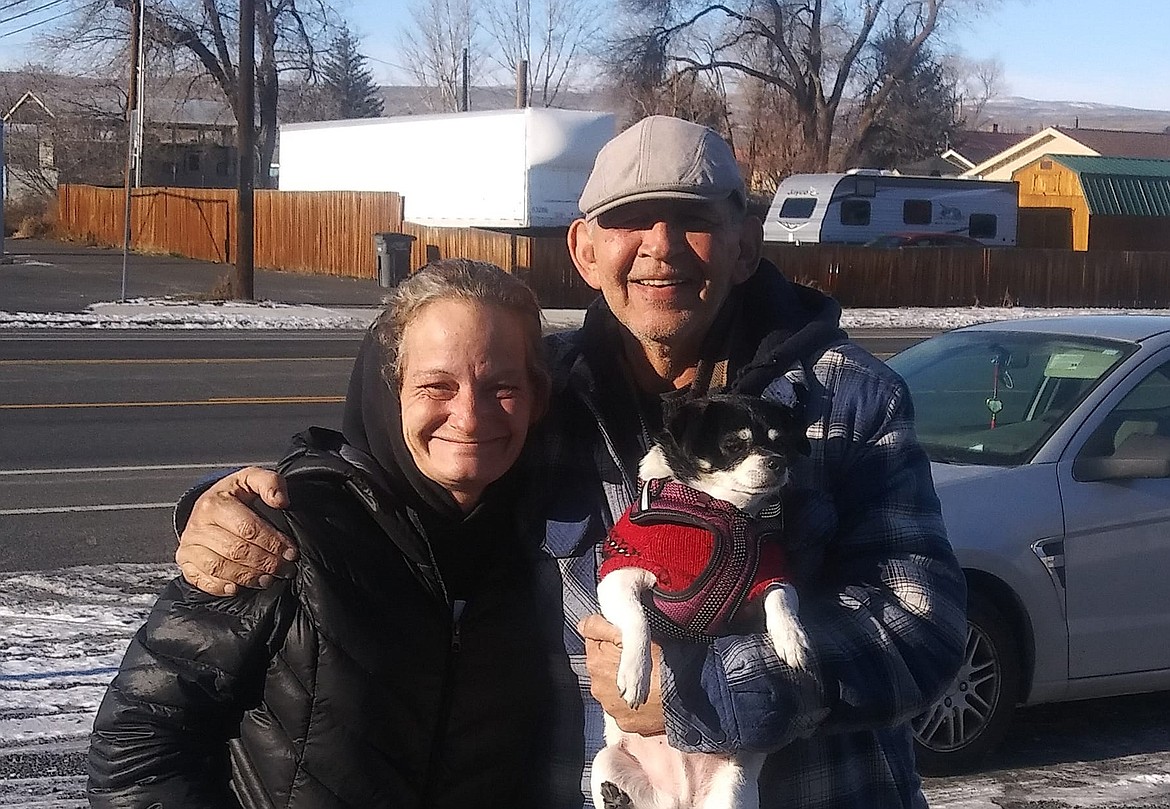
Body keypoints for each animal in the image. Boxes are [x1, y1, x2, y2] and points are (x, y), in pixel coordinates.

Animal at [594, 395, 814, 809]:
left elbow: (781, 601)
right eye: (733, 445)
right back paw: (616, 798)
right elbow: (637, 619)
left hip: (733, 789)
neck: (720, 511)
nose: (778, 462)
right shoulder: (619, 575)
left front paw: (793, 641)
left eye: (781, 442)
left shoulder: (769, 576)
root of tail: (679, 801)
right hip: (606, 760)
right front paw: (636, 673)